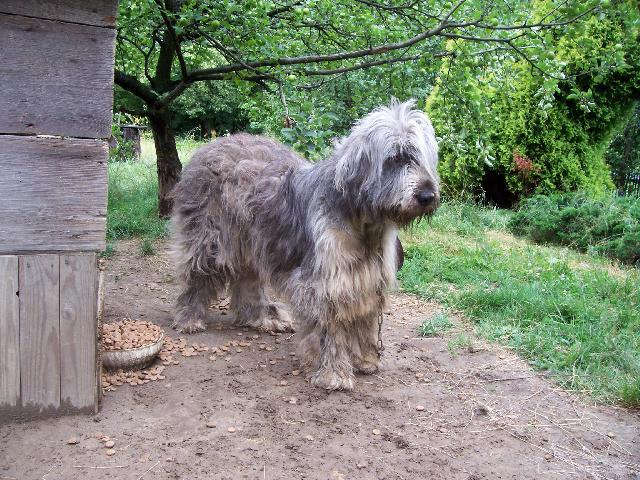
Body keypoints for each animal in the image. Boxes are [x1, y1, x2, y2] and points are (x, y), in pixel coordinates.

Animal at [170, 100, 440, 390]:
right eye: (395, 158)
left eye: (423, 158)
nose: (427, 195)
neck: (363, 224)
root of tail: (210, 145)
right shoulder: (326, 284)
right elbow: (330, 329)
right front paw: (333, 372)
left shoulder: (365, 279)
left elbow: (364, 321)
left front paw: (365, 359)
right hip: (210, 241)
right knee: (198, 276)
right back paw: (189, 318)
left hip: (254, 243)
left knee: (247, 283)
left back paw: (262, 317)